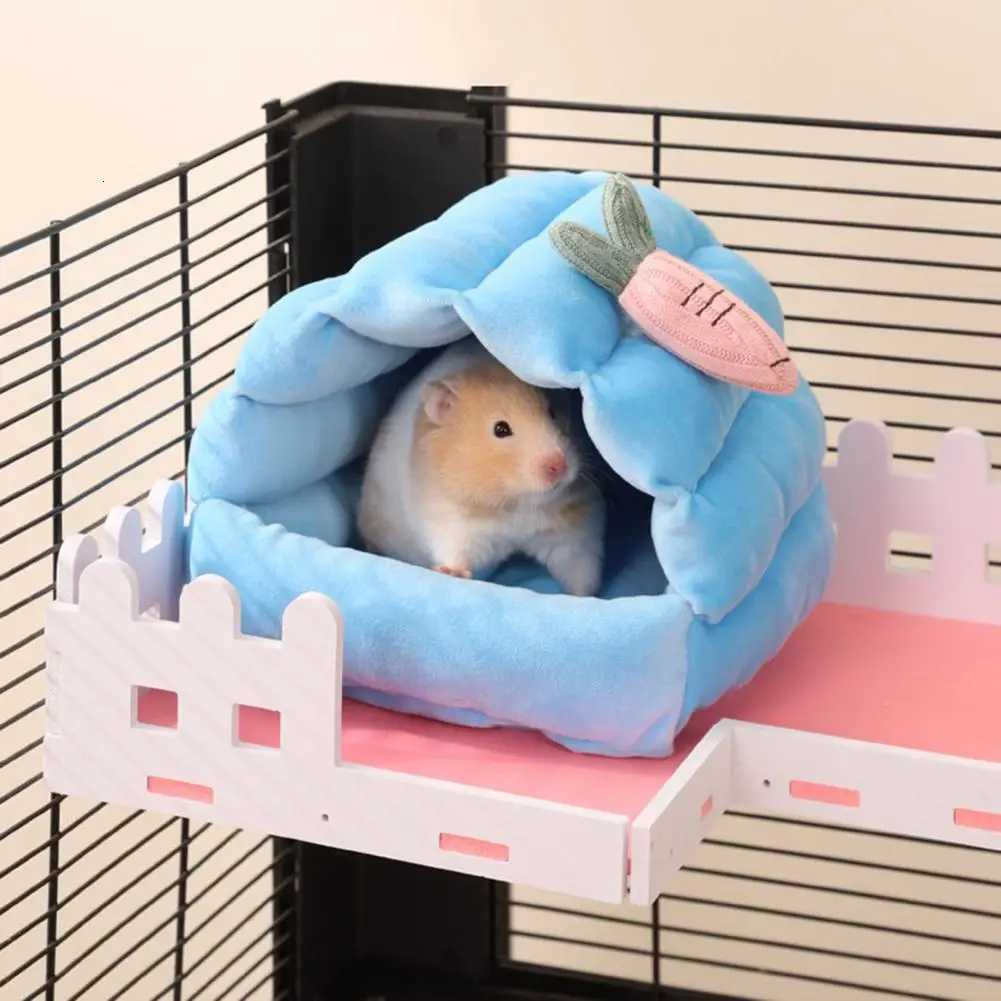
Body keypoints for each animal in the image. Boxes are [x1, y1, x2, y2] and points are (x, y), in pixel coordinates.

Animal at [358, 340, 605, 596]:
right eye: (500, 429)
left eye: (552, 413)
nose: (559, 464)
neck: (516, 504)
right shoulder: (454, 522)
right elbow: (458, 552)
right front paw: (451, 572)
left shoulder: (572, 528)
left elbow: (578, 565)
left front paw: (583, 597)